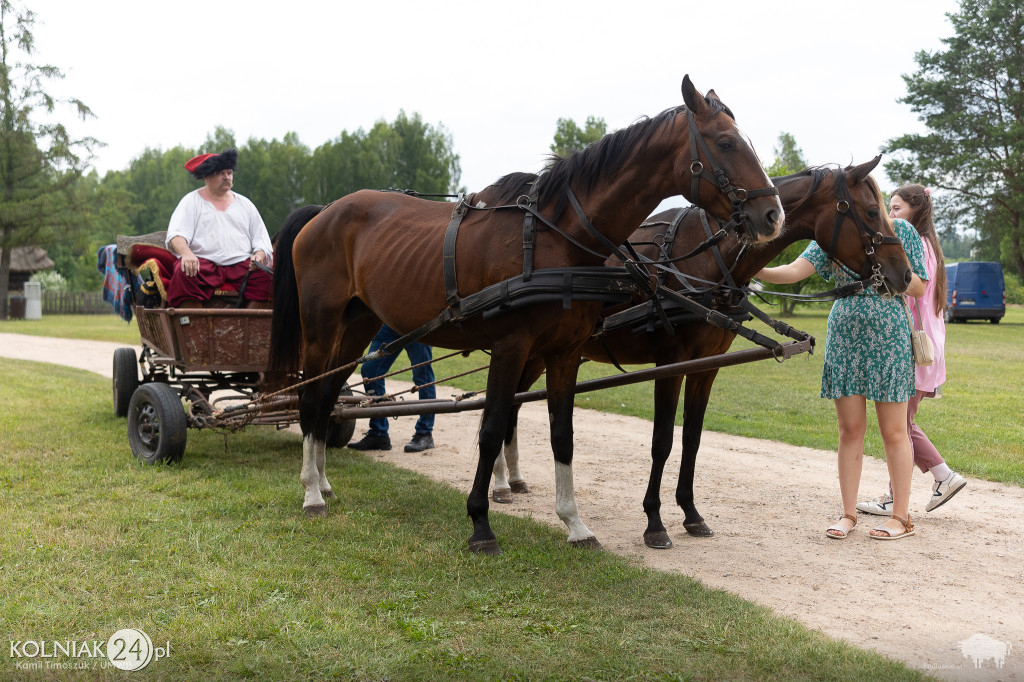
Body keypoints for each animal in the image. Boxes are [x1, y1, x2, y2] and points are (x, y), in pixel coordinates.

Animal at [266, 74, 782, 552]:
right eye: (726, 142)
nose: (772, 215)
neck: (555, 237)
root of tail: (325, 210)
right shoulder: (511, 346)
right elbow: (492, 427)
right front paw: (480, 523)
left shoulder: (565, 353)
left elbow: (562, 434)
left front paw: (574, 523)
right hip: (321, 326)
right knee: (310, 398)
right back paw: (311, 493)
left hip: (359, 326)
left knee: (329, 395)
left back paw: (324, 481)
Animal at [487, 155, 913, 548]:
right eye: (871, 212)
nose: (905, 275)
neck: (707, 260)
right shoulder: (670, 363)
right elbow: (662, 441)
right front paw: (654, 523)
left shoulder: (706, 368)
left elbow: (691, 438)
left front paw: (691, 514)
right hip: (528, 349)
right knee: (505, 407)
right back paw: (501, 484)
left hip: (541, 354)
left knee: (512, 408)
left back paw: (513, 479)